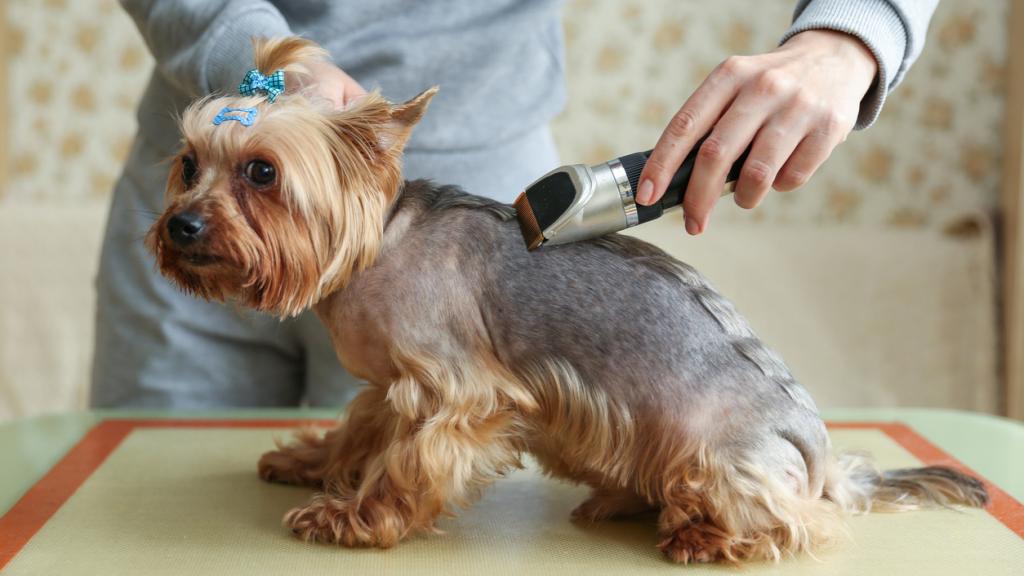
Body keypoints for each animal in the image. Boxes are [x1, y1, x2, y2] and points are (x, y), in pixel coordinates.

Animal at [148, 38, 987, 561]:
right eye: (188, 164)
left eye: (261, 172)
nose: (181, 227)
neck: (376, 239)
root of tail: (819, 458)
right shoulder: (392, 386)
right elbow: (359, 430)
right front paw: (311, 461)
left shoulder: (457, 393)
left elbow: (407, 463)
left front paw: (353, 517)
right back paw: (618, 501)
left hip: (716, 457)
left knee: (792, 522)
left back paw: (706, 535)